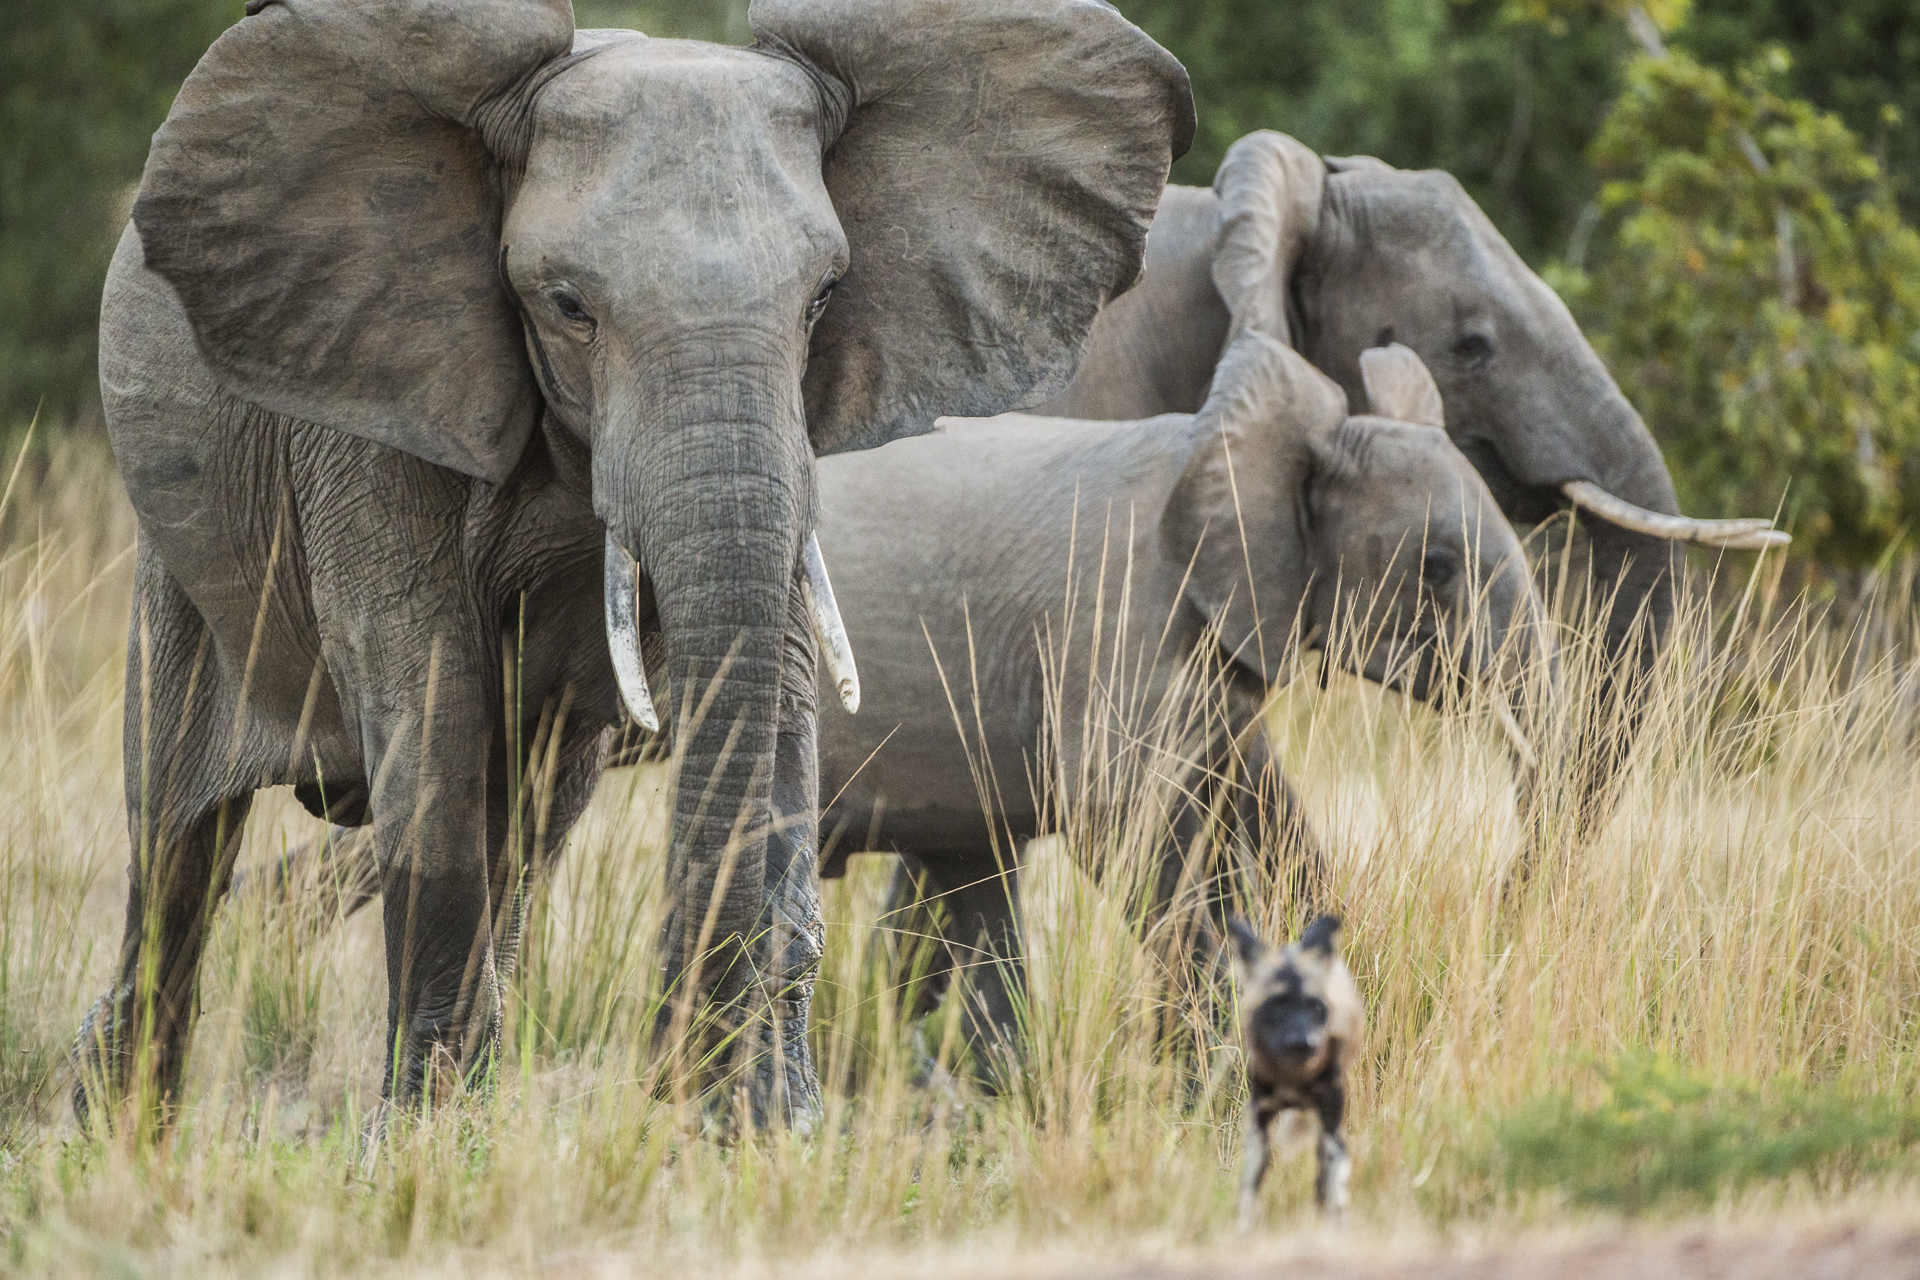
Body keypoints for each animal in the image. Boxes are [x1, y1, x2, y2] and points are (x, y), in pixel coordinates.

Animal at [82, 0, 1190, 1120]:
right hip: (180, 567)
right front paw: (420, 1139)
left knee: (528, 824)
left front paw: (769, 1124)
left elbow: (783, 673)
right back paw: (123, 1115)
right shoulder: (368, 396)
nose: (679, 1085)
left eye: (825, 297)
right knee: (174, 847)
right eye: (569, 304)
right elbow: (425, 691)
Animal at [810, 328, 1543, 1074]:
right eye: (1438, 566)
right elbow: (1130, 830)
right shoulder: (1121, 624)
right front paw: (1220, 1073)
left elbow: (1232, 828)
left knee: (977, 885)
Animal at [1228, 917, 1367, 1228]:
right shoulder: (1259, 1125)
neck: (1295, 1077)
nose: (1303, 1043)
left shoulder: (1331, 1127)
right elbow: (1248, 1194)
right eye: (1274, 1005)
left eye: (1316, 1005)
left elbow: (1334, 1193)